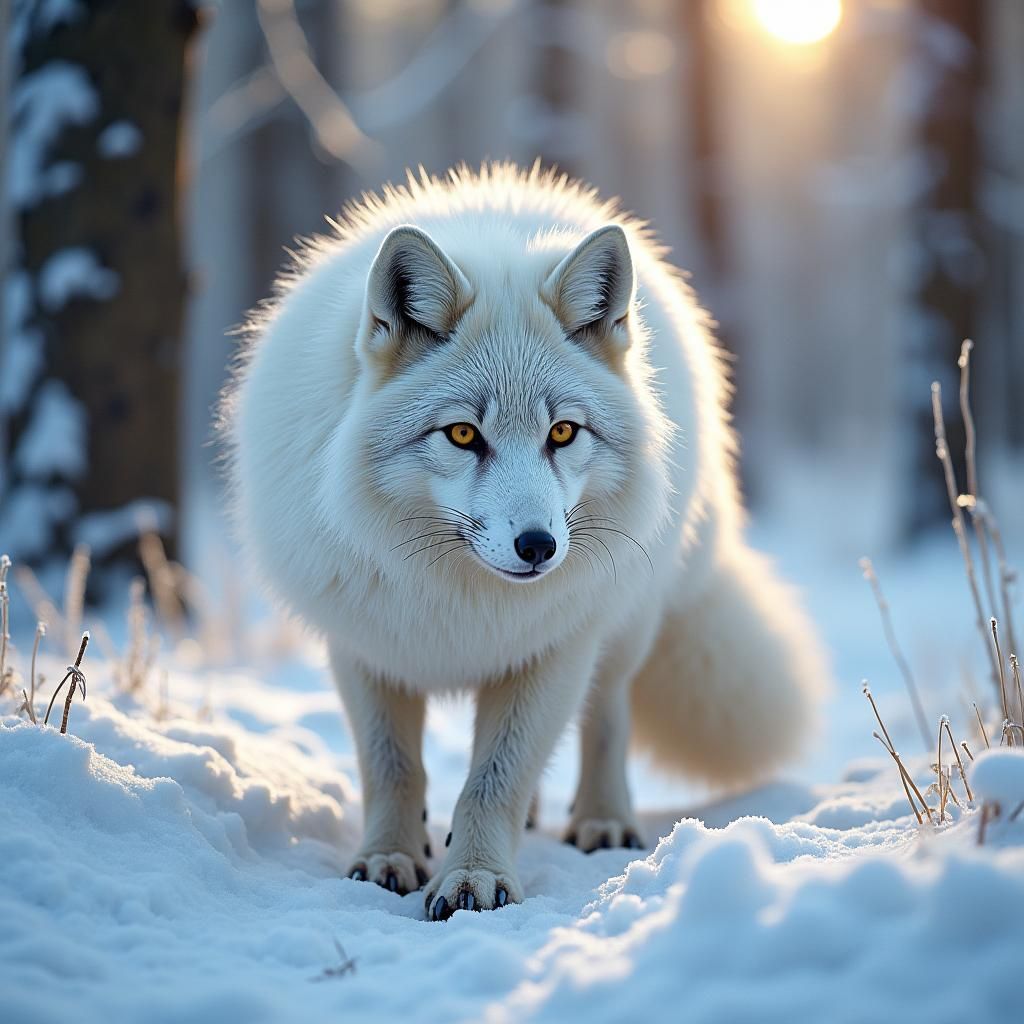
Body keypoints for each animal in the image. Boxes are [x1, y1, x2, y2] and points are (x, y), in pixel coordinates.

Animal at [224, 163, 827, 920]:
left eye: (563, 432)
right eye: (462, 434)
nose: (539, 546)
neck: (458, 599)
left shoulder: (552, 651)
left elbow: (495, 778)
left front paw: (474, 877)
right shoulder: (366, 645)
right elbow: (393, 769)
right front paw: (389, 858)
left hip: (624, 626)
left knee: (607, 717)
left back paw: (602, 820)